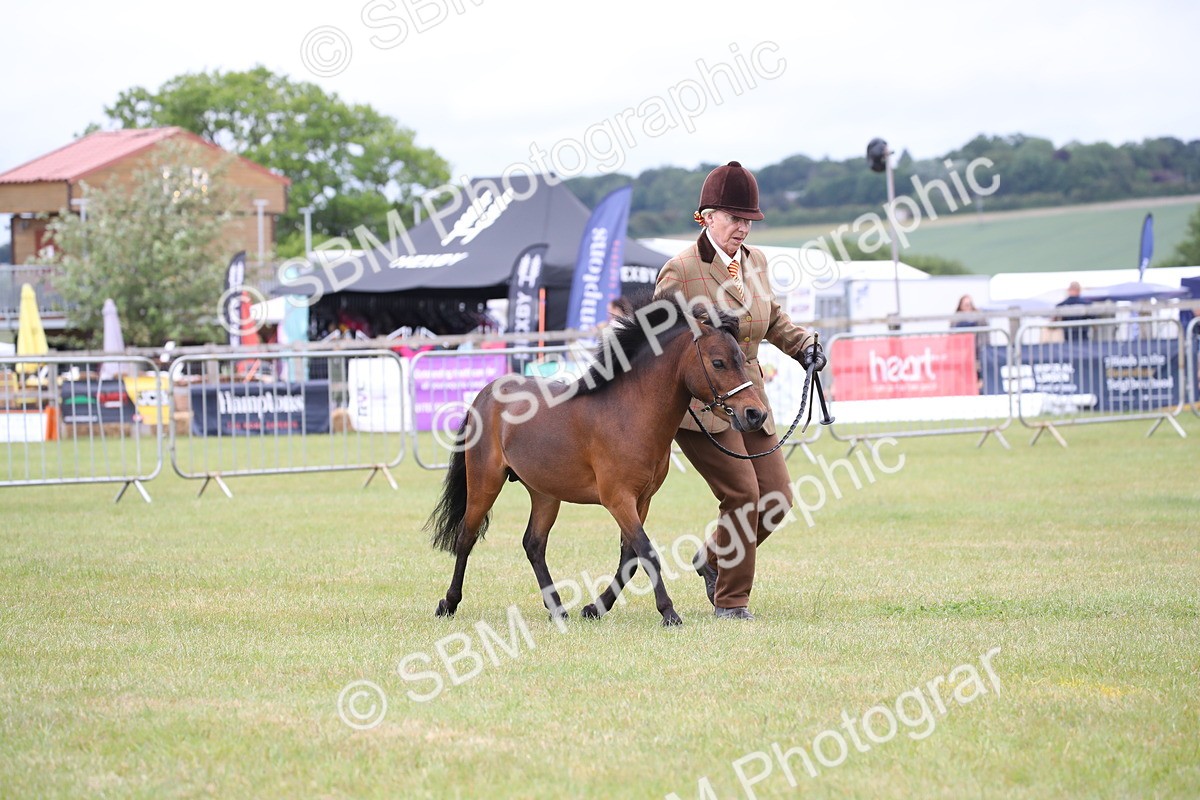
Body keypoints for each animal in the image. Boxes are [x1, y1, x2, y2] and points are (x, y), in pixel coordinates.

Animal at [425, 296, 768, 626]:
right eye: (718, 362)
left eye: (742, 360)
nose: (756, 414)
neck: (630, 413)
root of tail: (486, 394)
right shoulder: (618, 499)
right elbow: (647, 552)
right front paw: (669, 612)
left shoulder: (642, 500)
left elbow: (630, 557)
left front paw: (595, 608)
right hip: (485, 482)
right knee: (466, 536)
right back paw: (449, 603)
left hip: (545, 494)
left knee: (533, 544)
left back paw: (557, 609)